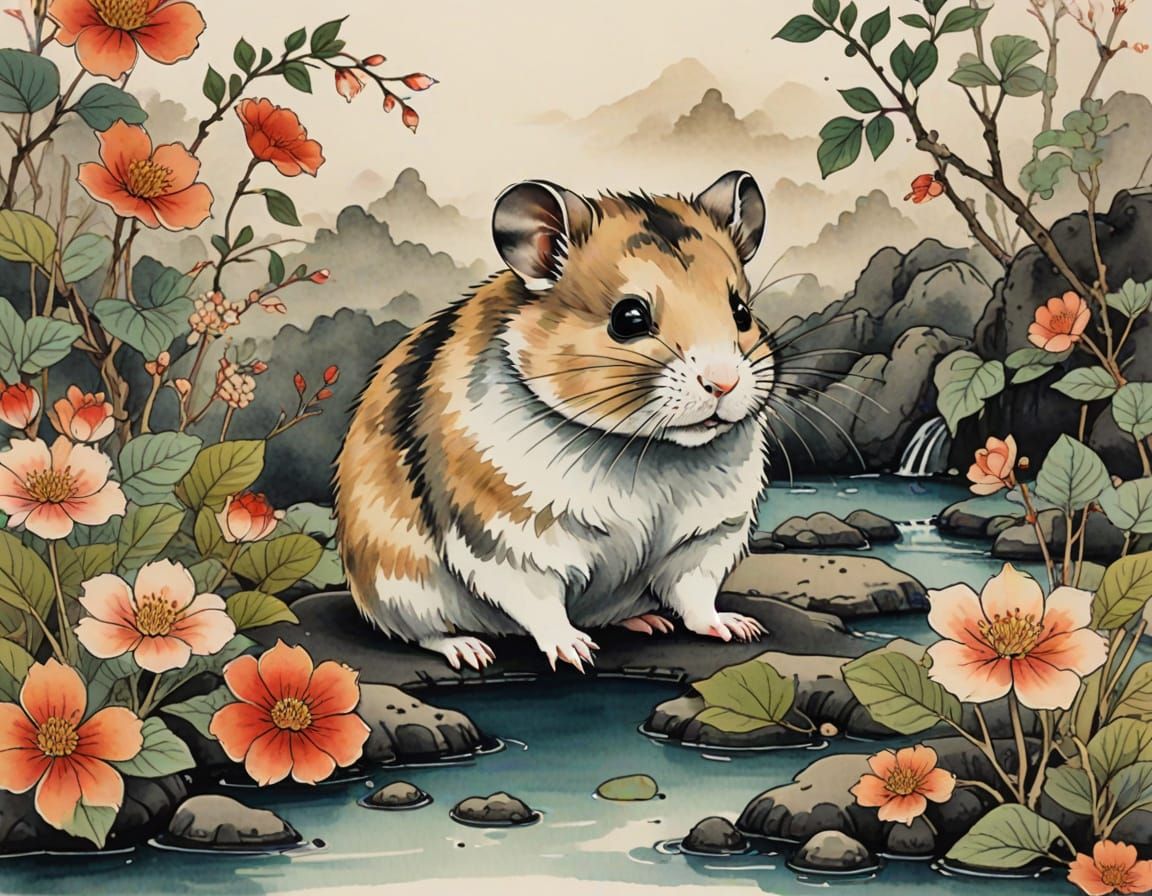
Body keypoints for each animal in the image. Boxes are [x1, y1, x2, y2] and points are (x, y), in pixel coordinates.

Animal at [334, 171, 774, 671]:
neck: (647, 450)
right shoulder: (511, 537)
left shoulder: (708, 535)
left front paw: (739, 628)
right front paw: (576, 654)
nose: (723, 384)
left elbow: (696, 595)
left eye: (741, 311)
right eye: (629, 318)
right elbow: (540, 602)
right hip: (400, 583)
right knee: (423, 631)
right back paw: (470, 650)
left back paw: (646, 621)